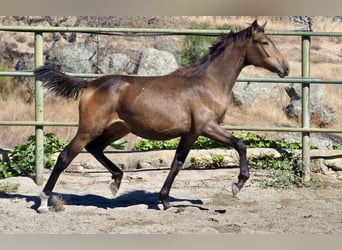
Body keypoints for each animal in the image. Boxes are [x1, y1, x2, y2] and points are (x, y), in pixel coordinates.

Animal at [33, 19, 288, 213]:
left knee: (95, 148)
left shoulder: (191, 133)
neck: (208, 84)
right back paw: (44, 201)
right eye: (265, 42)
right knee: (65, 156)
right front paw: (237, 185)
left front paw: (164, 201)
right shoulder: (207, 127)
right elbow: (241, 144)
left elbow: (177, 164)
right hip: (89, 128)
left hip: (117, 128)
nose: (285, 68)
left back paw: (116, 182)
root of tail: (90, 85)